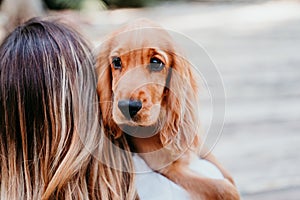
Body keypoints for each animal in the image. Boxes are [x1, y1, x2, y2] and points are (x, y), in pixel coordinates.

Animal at [97, 19, 240, 200]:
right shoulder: (168, 168)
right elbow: (225, 188)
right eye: (116, 62)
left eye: (156, 62)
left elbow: (227, 175)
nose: (126, 107)